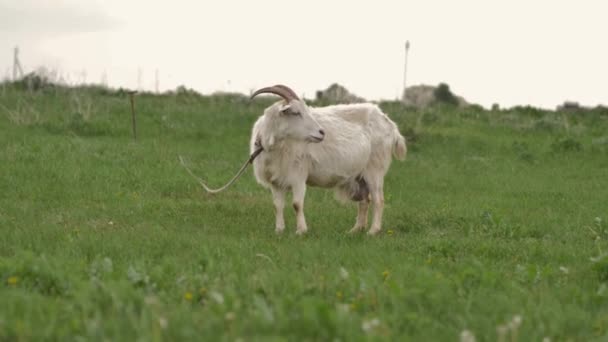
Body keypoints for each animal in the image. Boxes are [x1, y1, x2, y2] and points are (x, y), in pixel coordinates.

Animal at [249, 85, 406, 235]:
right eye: (296, 112)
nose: (321, 132)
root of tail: (390, 124)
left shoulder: (298, 175)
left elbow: (297, 204)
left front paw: (301, 231)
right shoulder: (275, 181)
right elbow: (277, 205)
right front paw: (279, 230)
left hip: (375, 169)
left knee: (378, 200)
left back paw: (373, 231)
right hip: (360, 174)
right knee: (364, 201)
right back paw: (355, 230)